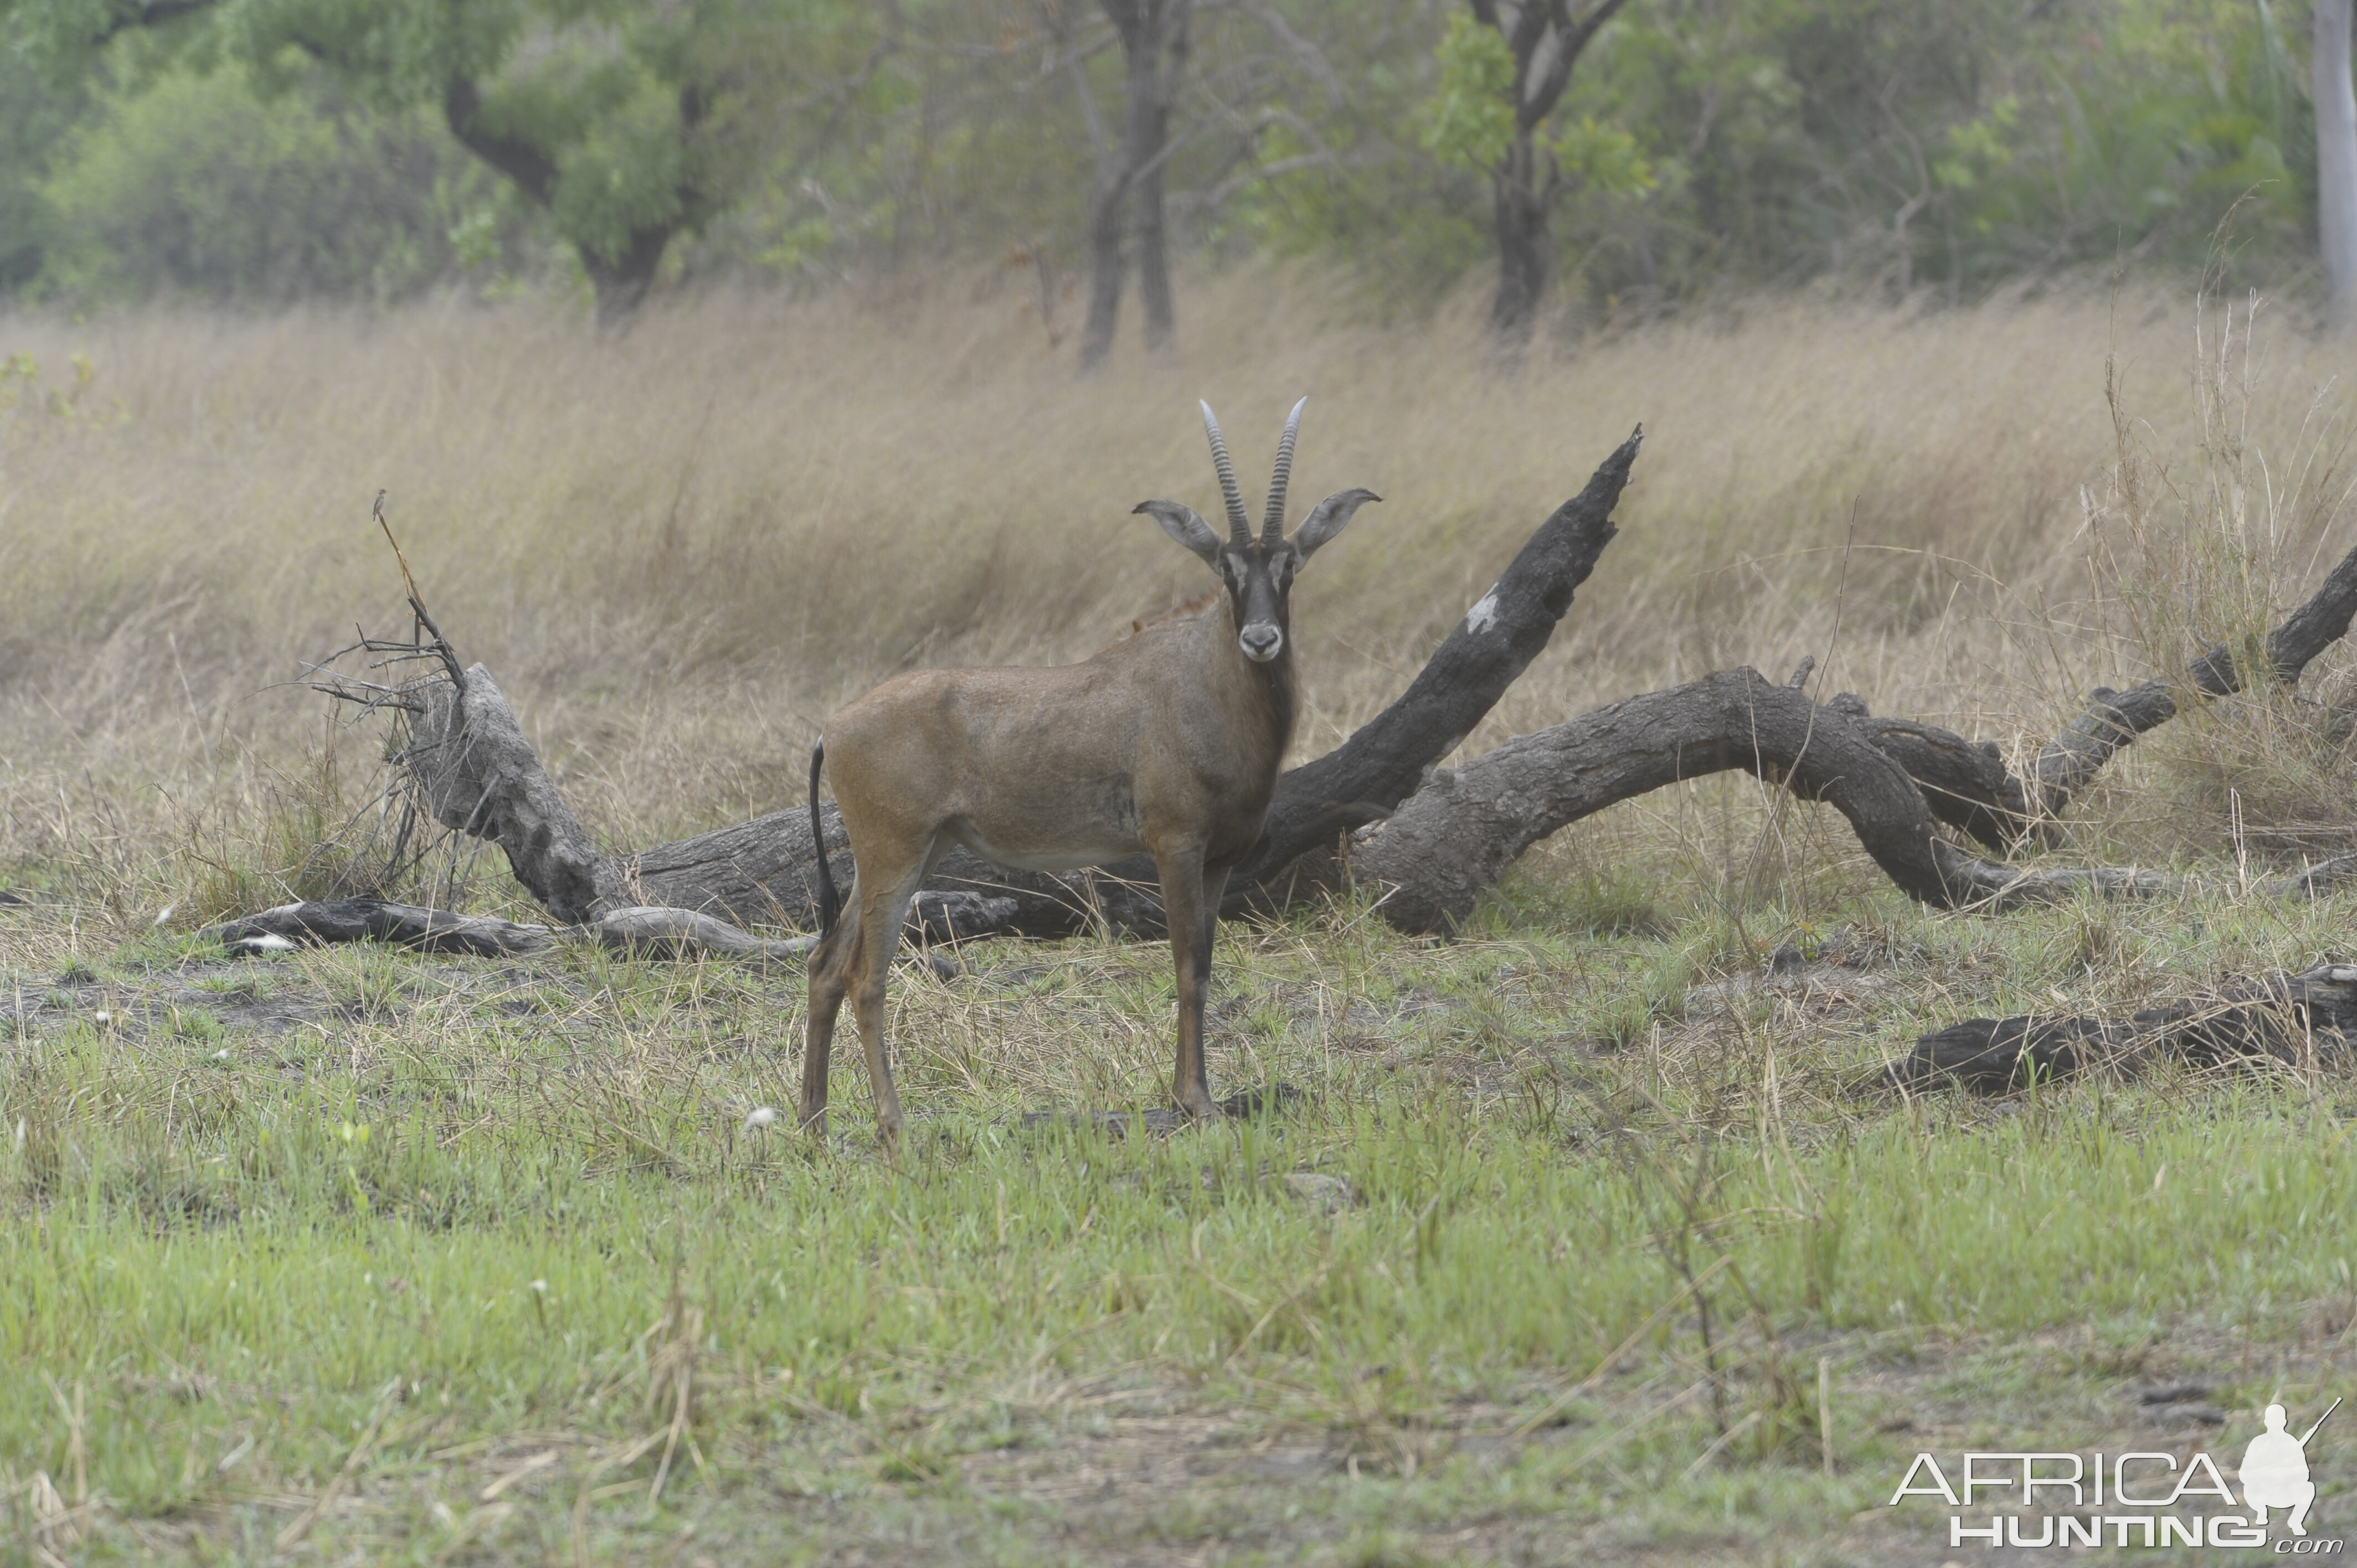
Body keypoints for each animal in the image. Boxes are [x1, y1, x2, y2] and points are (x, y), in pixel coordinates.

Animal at [801, 403, 1376, 1136]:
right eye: (1224, 567)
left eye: (1290, 564)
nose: (1260, 639)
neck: (1200, 679)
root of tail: (833, 728)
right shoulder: (1173, 846)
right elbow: (1186, 966)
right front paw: (1195, 1102)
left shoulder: (1219, 860)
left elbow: (1205, 966)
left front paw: (1195, 1096)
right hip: (894, 855)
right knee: (864, 976)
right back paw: (894, 1126)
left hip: (913, 855)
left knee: (825, 965)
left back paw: (813, 1124)